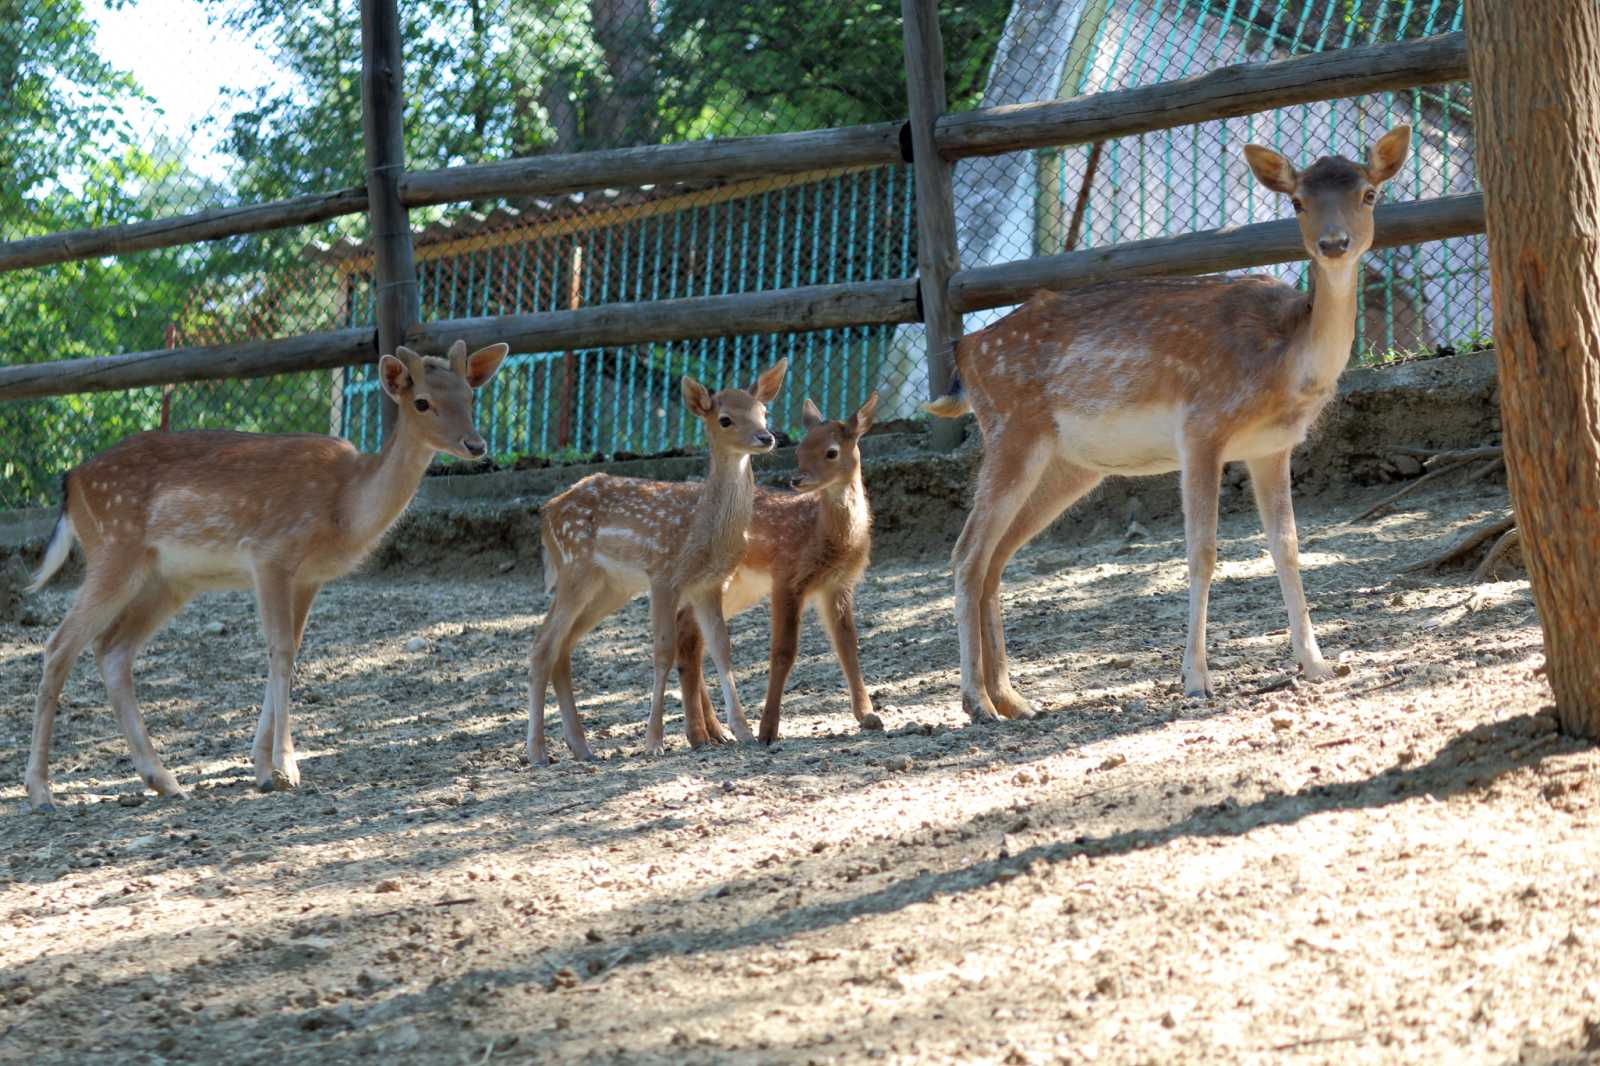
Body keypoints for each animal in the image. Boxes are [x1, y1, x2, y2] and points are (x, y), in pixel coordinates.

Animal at [26, 340, 512, 806]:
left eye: (470, 394)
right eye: (422, 402)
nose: (476, 445)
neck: (345, 507)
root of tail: (71, 483)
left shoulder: (310, 577)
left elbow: (291, 650)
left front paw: (263, 770)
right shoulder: (269, 554)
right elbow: (279, 651)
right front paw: (287, 768)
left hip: (169, 580)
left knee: (112, 648)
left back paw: (163, 780)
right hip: (114, 549)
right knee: (59, 645)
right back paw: (41, 792)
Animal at [531, 356, 787, 765]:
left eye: (764, 411)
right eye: (725, 419)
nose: (766, 437)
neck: (702, 531)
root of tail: (546, 513)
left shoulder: (708, 584)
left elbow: (722, 649)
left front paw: (744, 732)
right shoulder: (665, 575)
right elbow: (663, 651)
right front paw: (654, 741)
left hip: (610, 587)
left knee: (562, 647)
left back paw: (582, 747)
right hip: (575, 569)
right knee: (542, 646)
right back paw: (538, 751)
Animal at [672, 392, 883, 745]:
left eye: (831, 451)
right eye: (799, 451)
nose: (797, 479)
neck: (823, 533)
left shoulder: (838, 585)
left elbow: (847, 645)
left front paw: (868, 716)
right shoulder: (787, 575)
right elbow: (784, 651)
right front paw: (767, 730)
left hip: (734, 587)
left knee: (689, 629)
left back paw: (715, 730)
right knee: (688, 630)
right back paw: (705, 732)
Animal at [928, 126, 1414, 723]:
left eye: (1369, 193)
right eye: (1298, 201)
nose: (1334, 243)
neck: (1286, 360)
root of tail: (964, 351)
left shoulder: (1271, 448)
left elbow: (1288, 546)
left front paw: (1318, 664)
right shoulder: (1202, 427)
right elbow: (1202, 552)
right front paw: (1197, 680)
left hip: (1068, 465)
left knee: (996, 557)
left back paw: (1015, 698)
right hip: (1010, 429)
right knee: (966, 554)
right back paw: (976, 702)